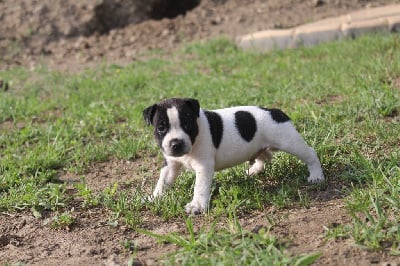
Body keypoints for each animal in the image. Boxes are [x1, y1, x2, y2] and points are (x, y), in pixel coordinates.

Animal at [142, 97, 324, 214]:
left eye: (187, 126)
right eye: (161, 128)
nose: (176, 143)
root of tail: (275, 111)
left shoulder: (203, 166)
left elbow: (199, 187)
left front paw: (197, 206)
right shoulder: (170, 164)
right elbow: (162, 182)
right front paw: (155, 197)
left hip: (289, 141)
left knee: (310, 154)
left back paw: (316, 175)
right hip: (261, 146)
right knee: (264, 156)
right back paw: (253, 170)